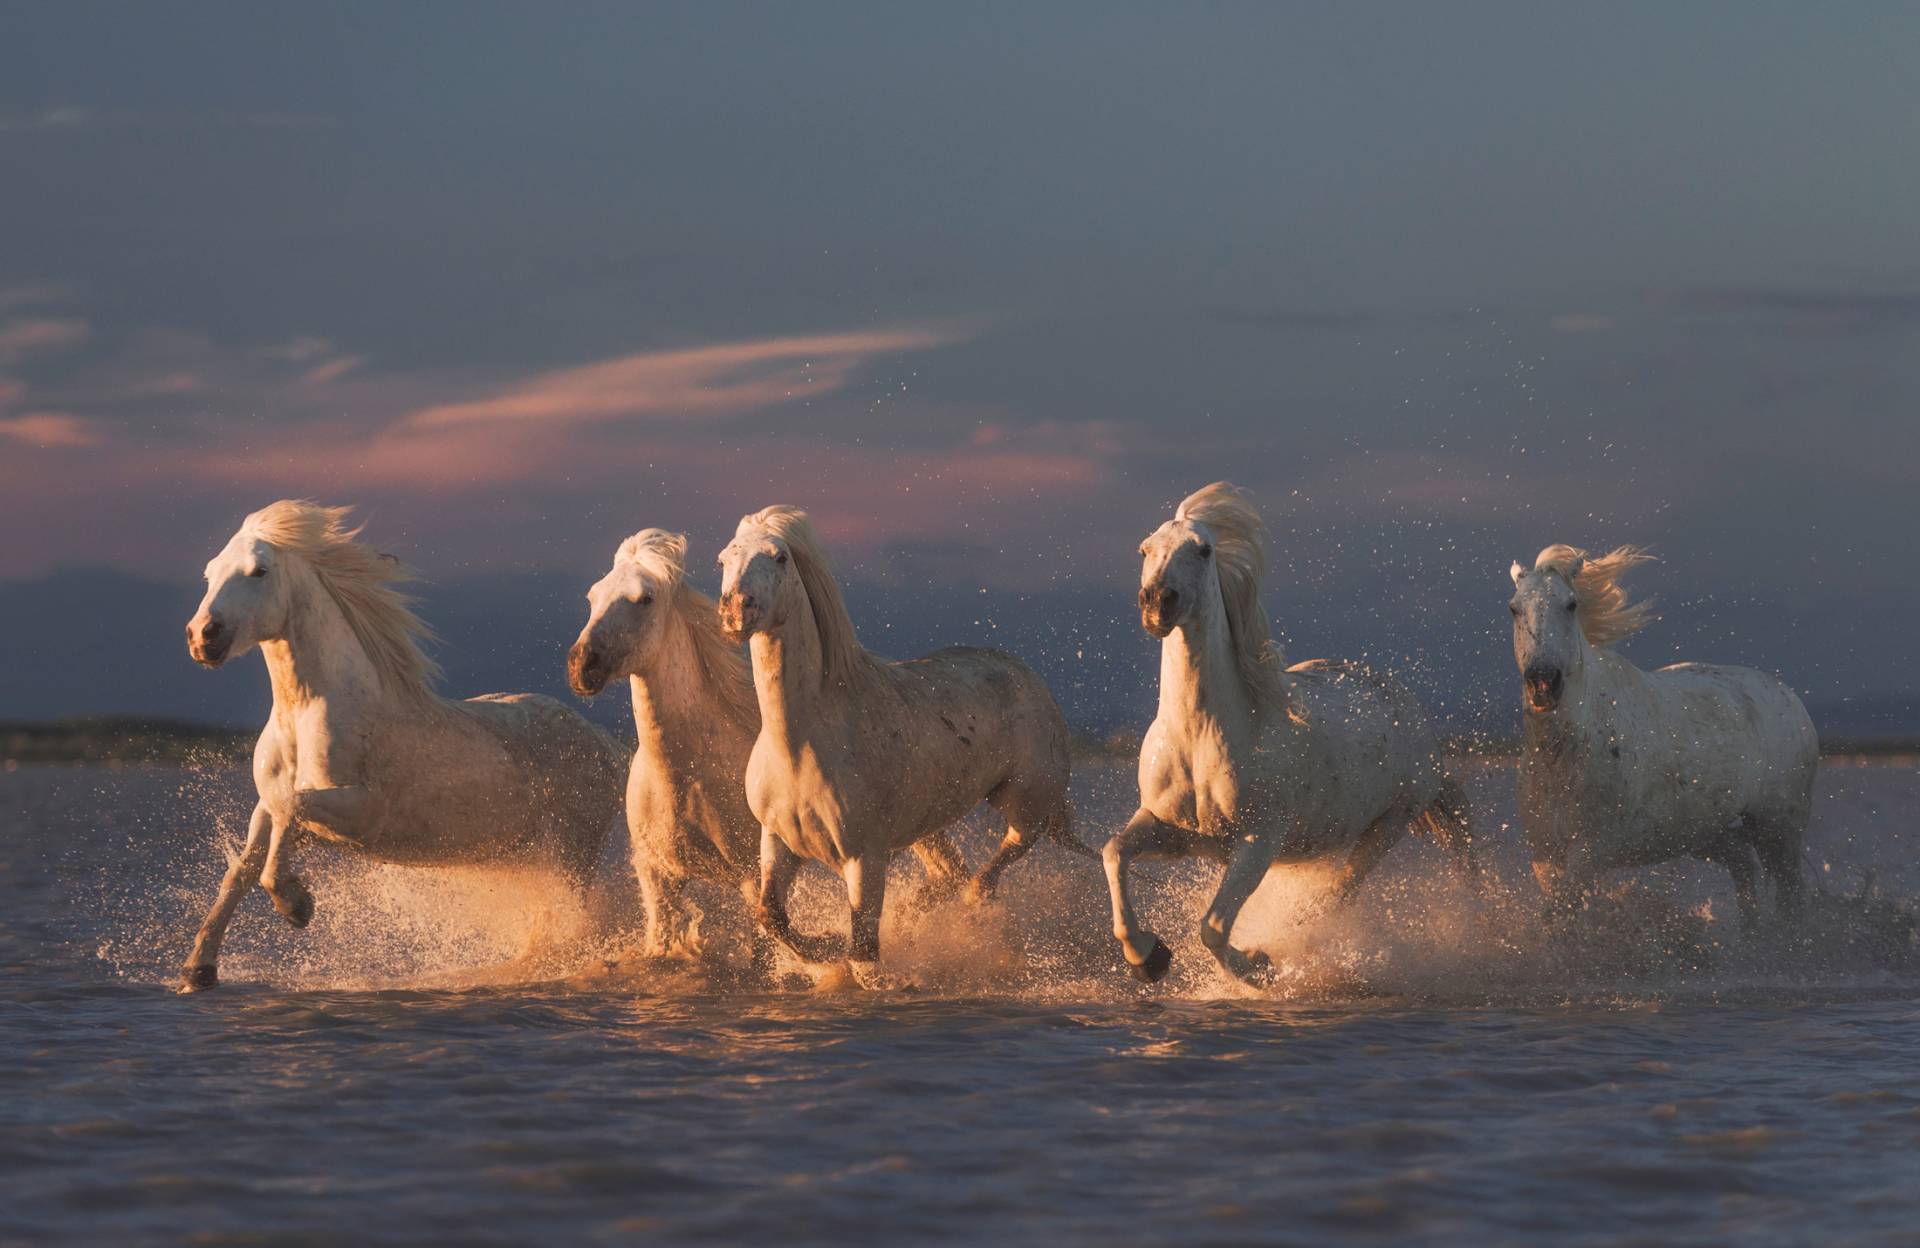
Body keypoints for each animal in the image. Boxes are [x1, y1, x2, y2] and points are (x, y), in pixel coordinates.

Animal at [178, 500, 625, 991]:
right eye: (209, 572)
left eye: (258, 571)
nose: (203, 636)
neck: (307, 715)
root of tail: (604, 742)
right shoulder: (267, 804)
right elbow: (242, 869)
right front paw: (197, 970)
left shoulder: (362, 814)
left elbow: (292, 815)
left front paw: (297, 906)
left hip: (572, 853)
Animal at [565, 528, 972, 973]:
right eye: (592, 596)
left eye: (645, 599)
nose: (582, 666)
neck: (686, 773)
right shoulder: (658, 875)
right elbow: (661, 945)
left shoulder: (751, 874)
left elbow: (764, 949)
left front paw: (827, 947)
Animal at [716, 505, 1088, 987]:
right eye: (725, 559)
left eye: (779, 557)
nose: (735, 610)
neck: (800, 744)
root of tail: (1026, 674)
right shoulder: (780, 842)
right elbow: (772, 916)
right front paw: (826, 946)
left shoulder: (865, 858)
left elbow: (864, 959)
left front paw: (844, 954)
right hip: (928, 825)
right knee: (947, 876)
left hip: (1026, 800)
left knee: (1001, 856)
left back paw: (972, 906)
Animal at [1103, 482, 1475, 987]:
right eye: (1145, 549)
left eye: (1202, 550)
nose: (1158, 602)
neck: (1202, 737)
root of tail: (1409, 709)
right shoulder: (1169, 829)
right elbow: (1114, 851)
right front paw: (1147, 957)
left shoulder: (1257, 841)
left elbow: (1213, 928)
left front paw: (1260, 967)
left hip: (1391, 822)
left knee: (1336, 895)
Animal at [1508, 545, 1817, 927]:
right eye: (1514, 608)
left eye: (1571, 604)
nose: (1543, 682)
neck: (1563, 755)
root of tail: (1791, 698)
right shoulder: (1545, 855)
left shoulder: (1590, 852)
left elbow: (1559, 915)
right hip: (1704, 834)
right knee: (1742, 864)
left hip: (1779, 830)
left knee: (1790, 898)